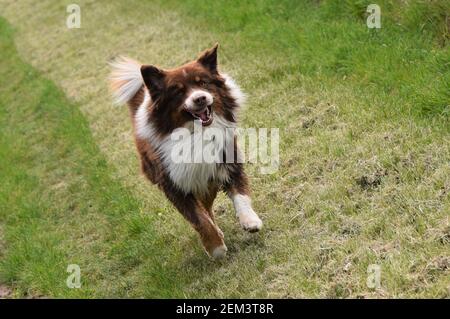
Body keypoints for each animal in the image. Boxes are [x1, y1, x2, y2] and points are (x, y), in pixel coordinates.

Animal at [109, 44, 262, 260]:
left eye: (203, 83)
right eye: (178, 92)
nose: (200, 98)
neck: (195, 134)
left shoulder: (227, 164)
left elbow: (240, 195)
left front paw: (250, 221)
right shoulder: (175, 185)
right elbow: (199, 220)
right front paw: (216, 249)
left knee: (207, 207)